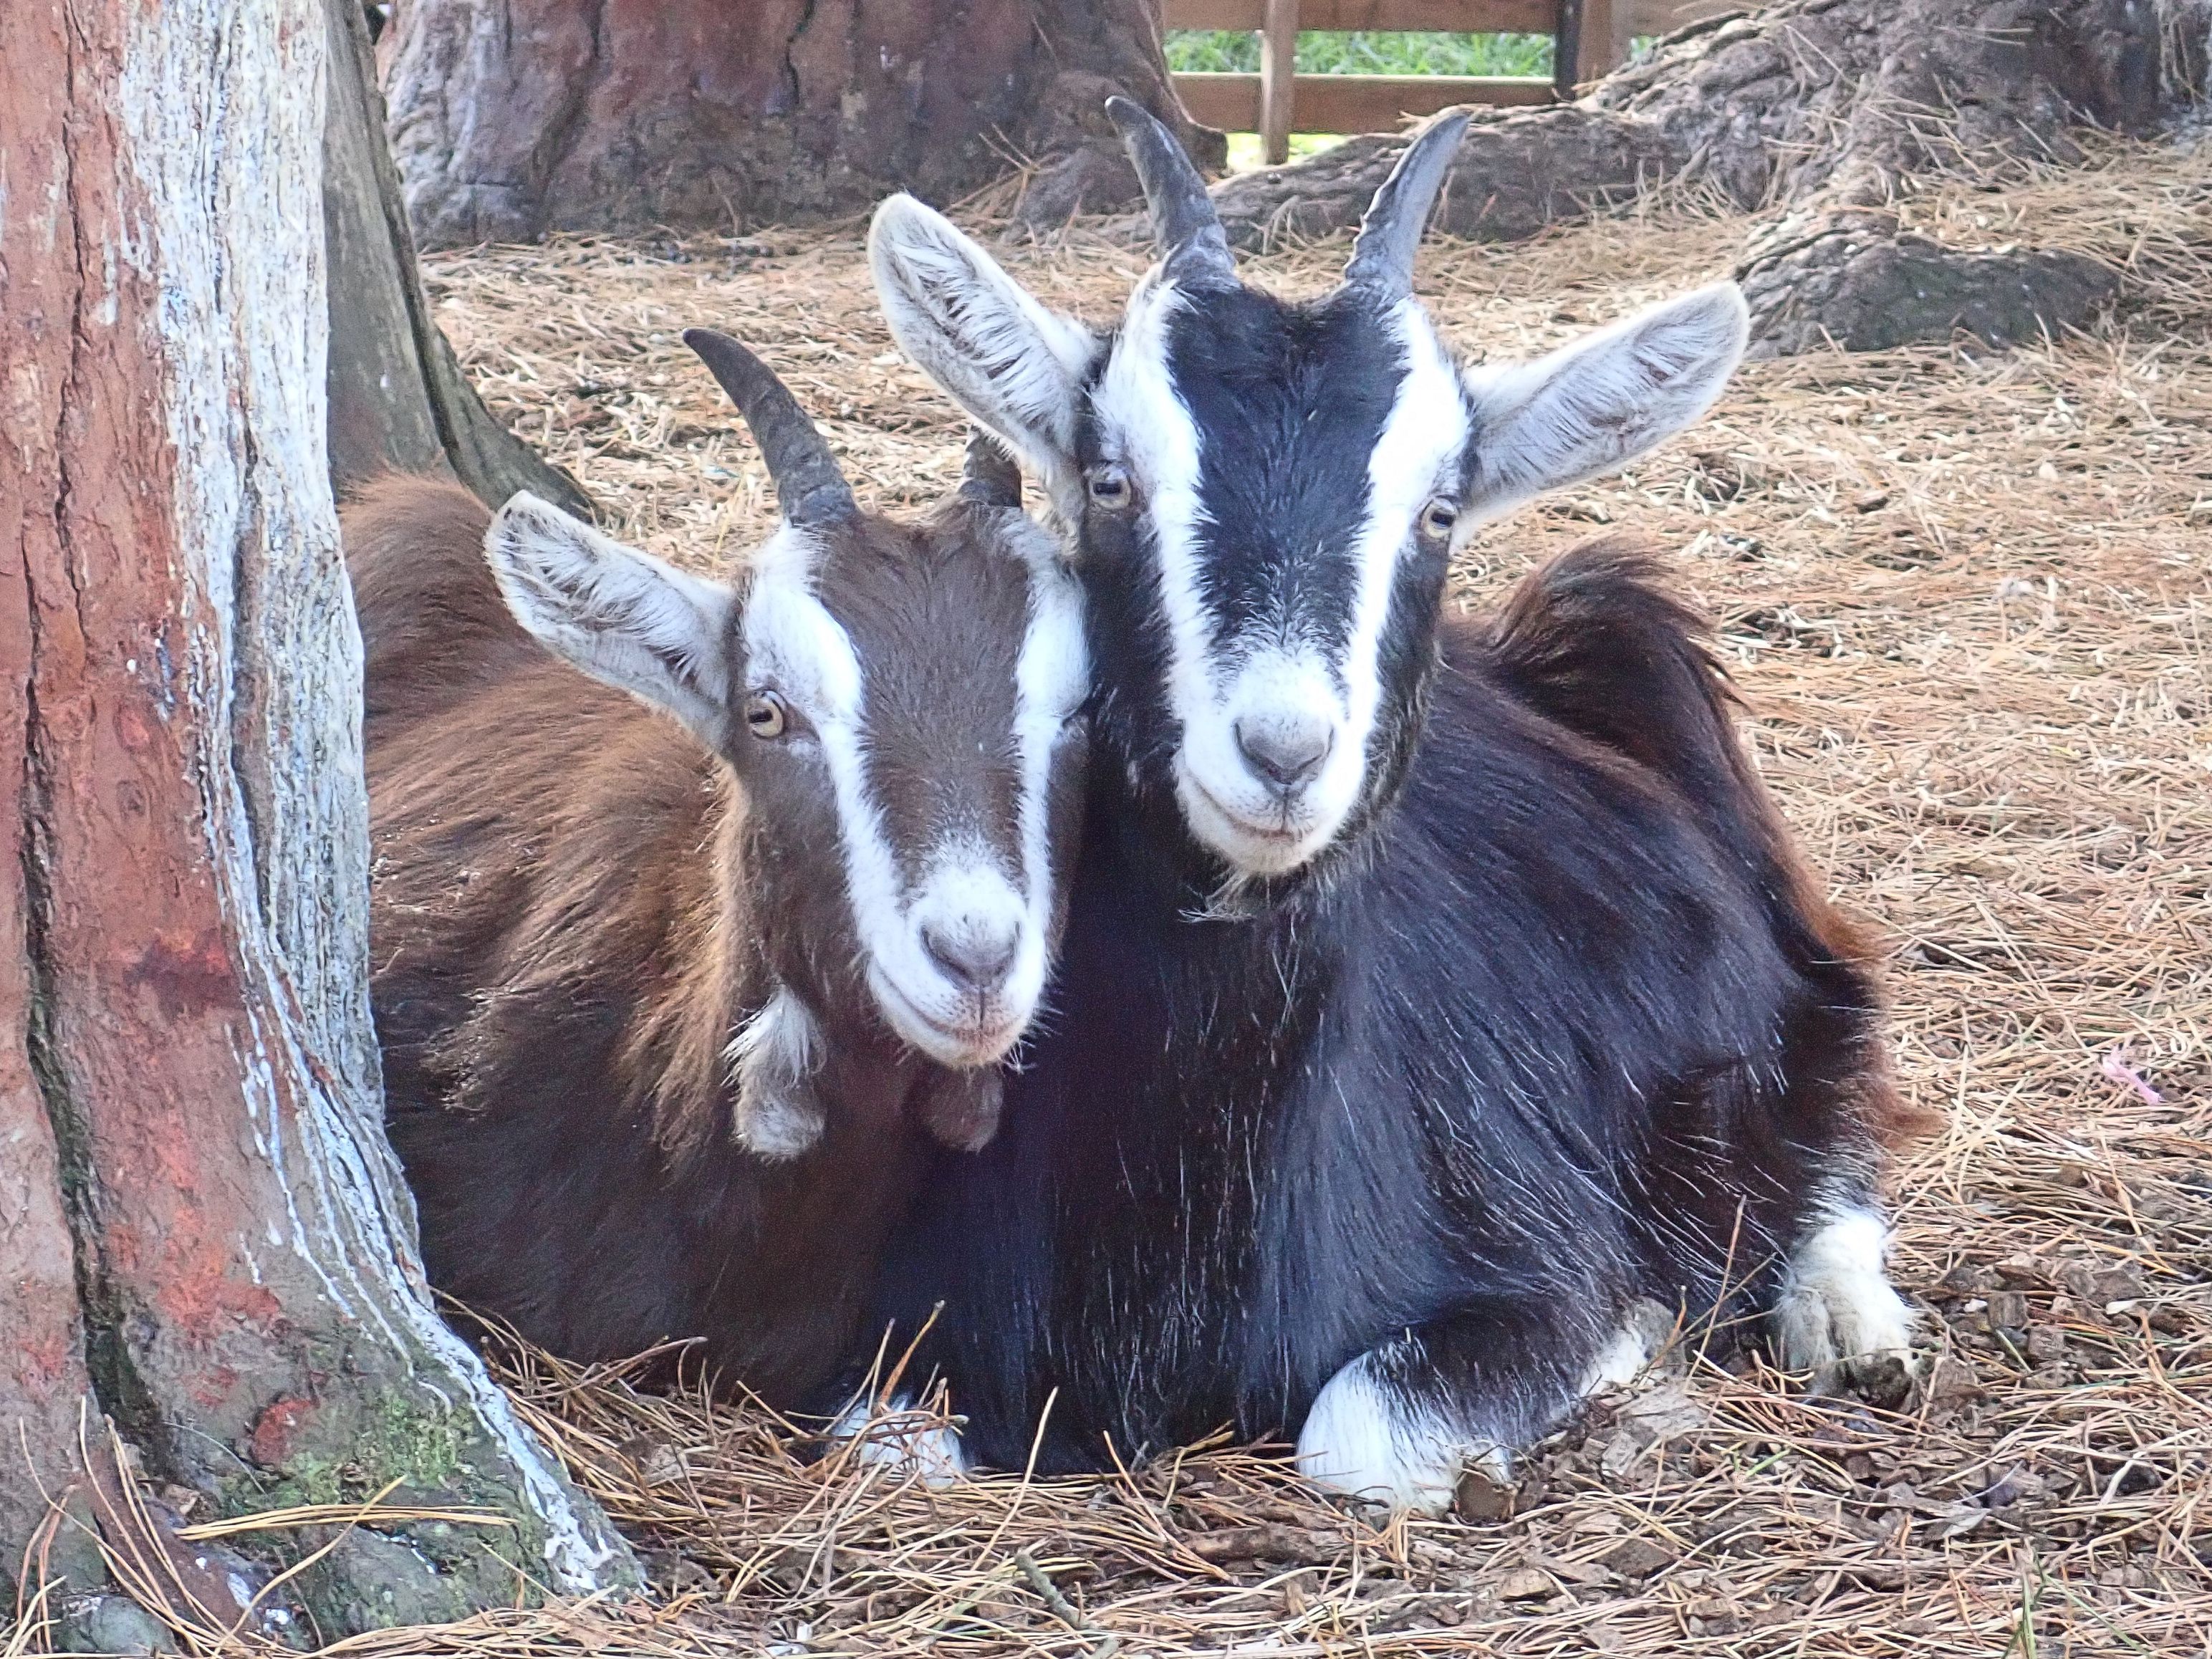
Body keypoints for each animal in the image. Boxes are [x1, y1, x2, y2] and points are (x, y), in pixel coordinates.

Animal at [855, 105, 1927, 1509]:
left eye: (1438, 511)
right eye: (1107, 481)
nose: (1281, 751)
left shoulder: (1525, 1242)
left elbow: (1355, 1430)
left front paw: (1636, 1332)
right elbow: (886, 1444)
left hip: (1754, 926)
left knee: (1837, 1072)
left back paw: (1849, 1320)